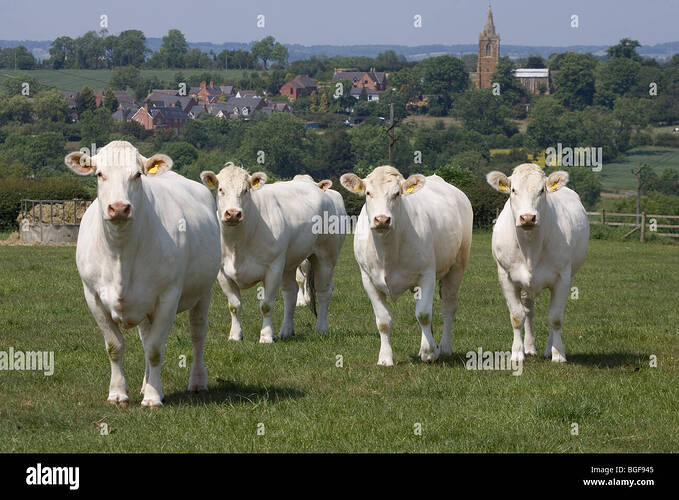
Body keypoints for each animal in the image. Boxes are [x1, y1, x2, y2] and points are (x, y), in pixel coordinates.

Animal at [65, 141, 221, 407]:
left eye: (137, 174)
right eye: (99, 174)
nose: (119, 208)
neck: (121, 254)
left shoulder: (169, 296)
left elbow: (155, 349)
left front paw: (153, 397)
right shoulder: (93, 296)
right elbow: (115, 346)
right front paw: (118, 393)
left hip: (203, 292)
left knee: (197, 334)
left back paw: (197, 381)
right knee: (146, 336)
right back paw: (145, 383)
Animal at [200, 163, 344, 343]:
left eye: (246, 190)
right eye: (221, 189)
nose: (233, 213)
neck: (237, 243)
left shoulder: (273, 268)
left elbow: (266, 305)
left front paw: (266, 336)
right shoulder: (222, 272)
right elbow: (234, 306)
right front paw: (235, 335)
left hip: (326, 256)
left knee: (324, 291)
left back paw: (321, 328)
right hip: (290, 263)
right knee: (290, 293)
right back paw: (286, 331)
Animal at [340, 166, 473, 365]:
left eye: (396, 194)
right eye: (368, 193)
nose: (382, 220)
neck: (387, 251)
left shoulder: (426, 274)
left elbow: (423, 315)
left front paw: (429, 352)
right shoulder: (368, 279)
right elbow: (383, 321)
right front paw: (385, 357)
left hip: (457, 266)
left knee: (448, 307)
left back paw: (444, 347)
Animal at [486, 163, 589, 363]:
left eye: (542, 190)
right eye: (513, 190)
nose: (527, 217)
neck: (530, 248)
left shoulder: (563, 278)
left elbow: (555, 317)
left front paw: (558, 353)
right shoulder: (506, 277)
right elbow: (517, 316)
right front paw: (517, 353)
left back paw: (549, 348)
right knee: (528, 312)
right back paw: (529, 347)